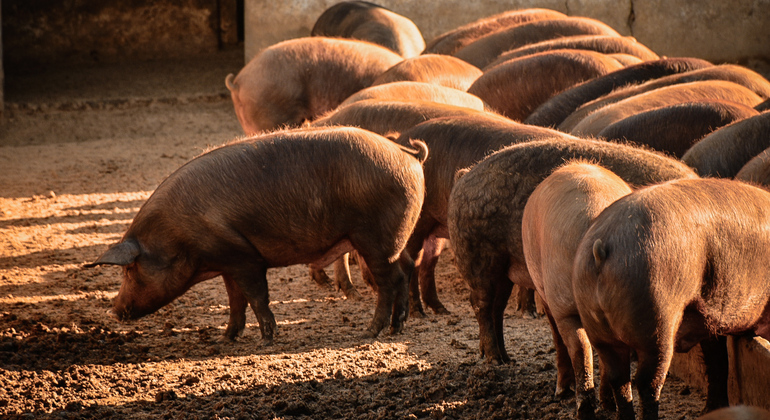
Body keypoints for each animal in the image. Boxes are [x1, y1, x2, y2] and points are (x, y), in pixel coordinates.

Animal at [85, 126, 427, 343]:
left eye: (130, 270)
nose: (113, 310)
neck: (176, 236)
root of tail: (407, 152)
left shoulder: (243, 258)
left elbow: (256, 297)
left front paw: (266, 339)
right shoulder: (225, 262)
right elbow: (235, 301)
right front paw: (225, 339)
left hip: (376, 238)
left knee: (390, 281)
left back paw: (370, 332)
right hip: (397, 237)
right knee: (406, 269)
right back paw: (396, 329)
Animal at [446, 136, 698, 365]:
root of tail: (463, 176)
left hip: (502, 270)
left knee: (497, 307)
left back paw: (507, 359)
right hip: (478, 258)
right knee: (481, 304)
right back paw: (495, 360)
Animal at [522, 161, 632, 417]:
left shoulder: (551, 300)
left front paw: (561, 393)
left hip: (561, 297)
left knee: (579, 347)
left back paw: (580, 405)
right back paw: (608, 405)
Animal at [572, 178, 770, 419]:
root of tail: (602, 247)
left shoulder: (709, 322)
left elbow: (717, 360)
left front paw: (712, 409)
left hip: (597, 326)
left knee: (618, 378)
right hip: (656, 314)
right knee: (646, 381)